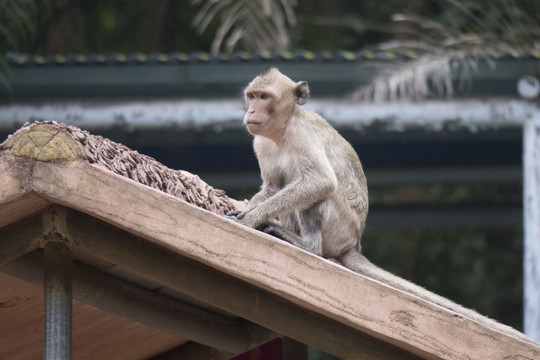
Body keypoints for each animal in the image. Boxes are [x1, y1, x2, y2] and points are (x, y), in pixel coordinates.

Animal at [227, 68, 532, 344]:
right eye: (251, 96)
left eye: (264, 97)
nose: (251, 111)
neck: (282, 130)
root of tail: (354, 244)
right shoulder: (261, 143)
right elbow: (272, 188)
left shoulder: (302, 136)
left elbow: (320, 183)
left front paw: (251, 218)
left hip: (341, 228)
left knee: (320, 194)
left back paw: (308, 246)